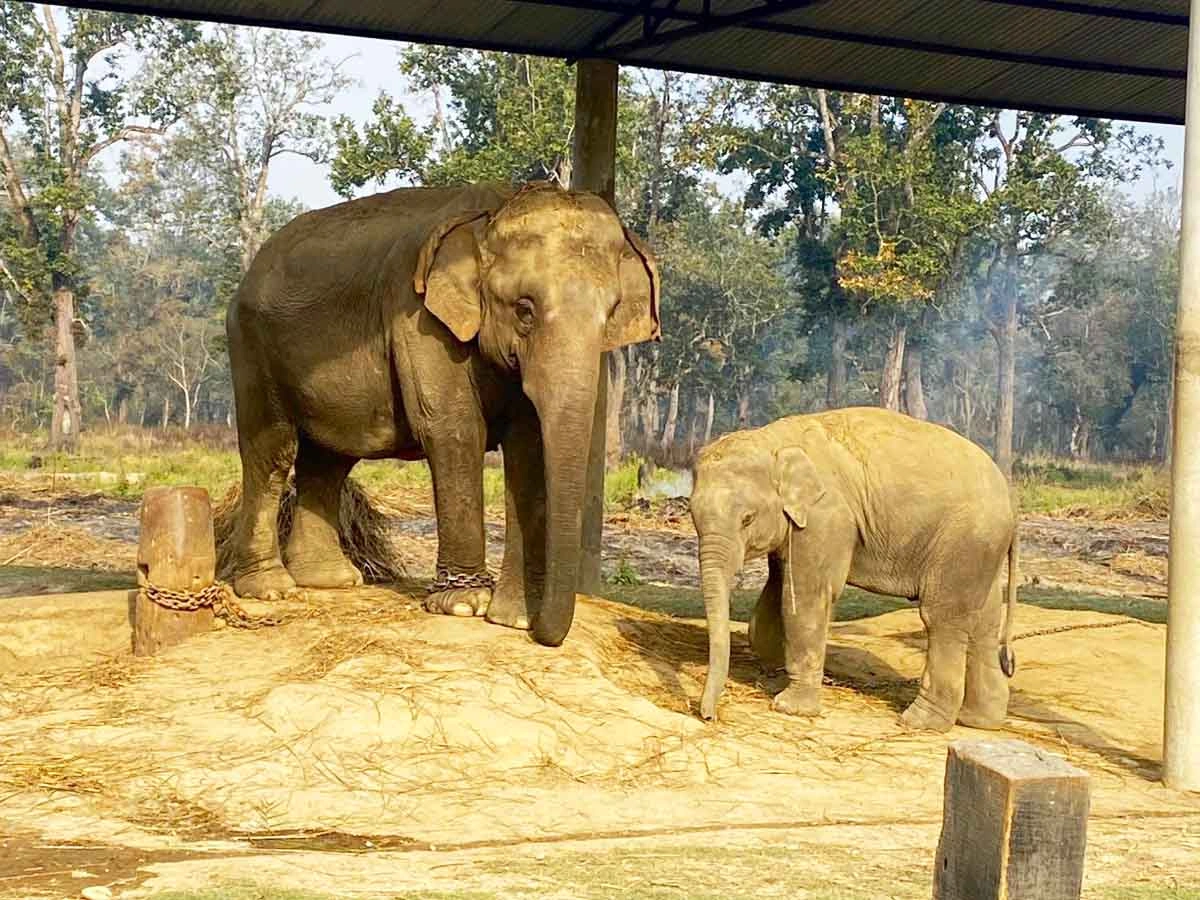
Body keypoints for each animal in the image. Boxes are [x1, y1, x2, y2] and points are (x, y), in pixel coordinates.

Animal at [225, 182, 660, 647]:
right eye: (524, 310)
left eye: (611, 312)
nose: (544, 634)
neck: (493, 210)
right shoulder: (419, 319)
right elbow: (454, 430)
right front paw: (466, 606)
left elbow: (528, 447)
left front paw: (513, 618)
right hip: (252, 347)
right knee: (274, 453)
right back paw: (271, 588)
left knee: (328, 461)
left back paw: (332, 580)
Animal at [689, 407, 1019, 731]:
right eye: (692, 516)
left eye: (747, 518)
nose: (708, 716)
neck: (775, 439)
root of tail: (1009, 501)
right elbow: (779, 585)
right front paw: (772, 666)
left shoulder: (826, 517)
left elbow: (806, 596)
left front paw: (790, 707)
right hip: (981, 550)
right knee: (984, 619)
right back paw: (978, 720)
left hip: (963, 540)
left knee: (942, 618)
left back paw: (919, 722)